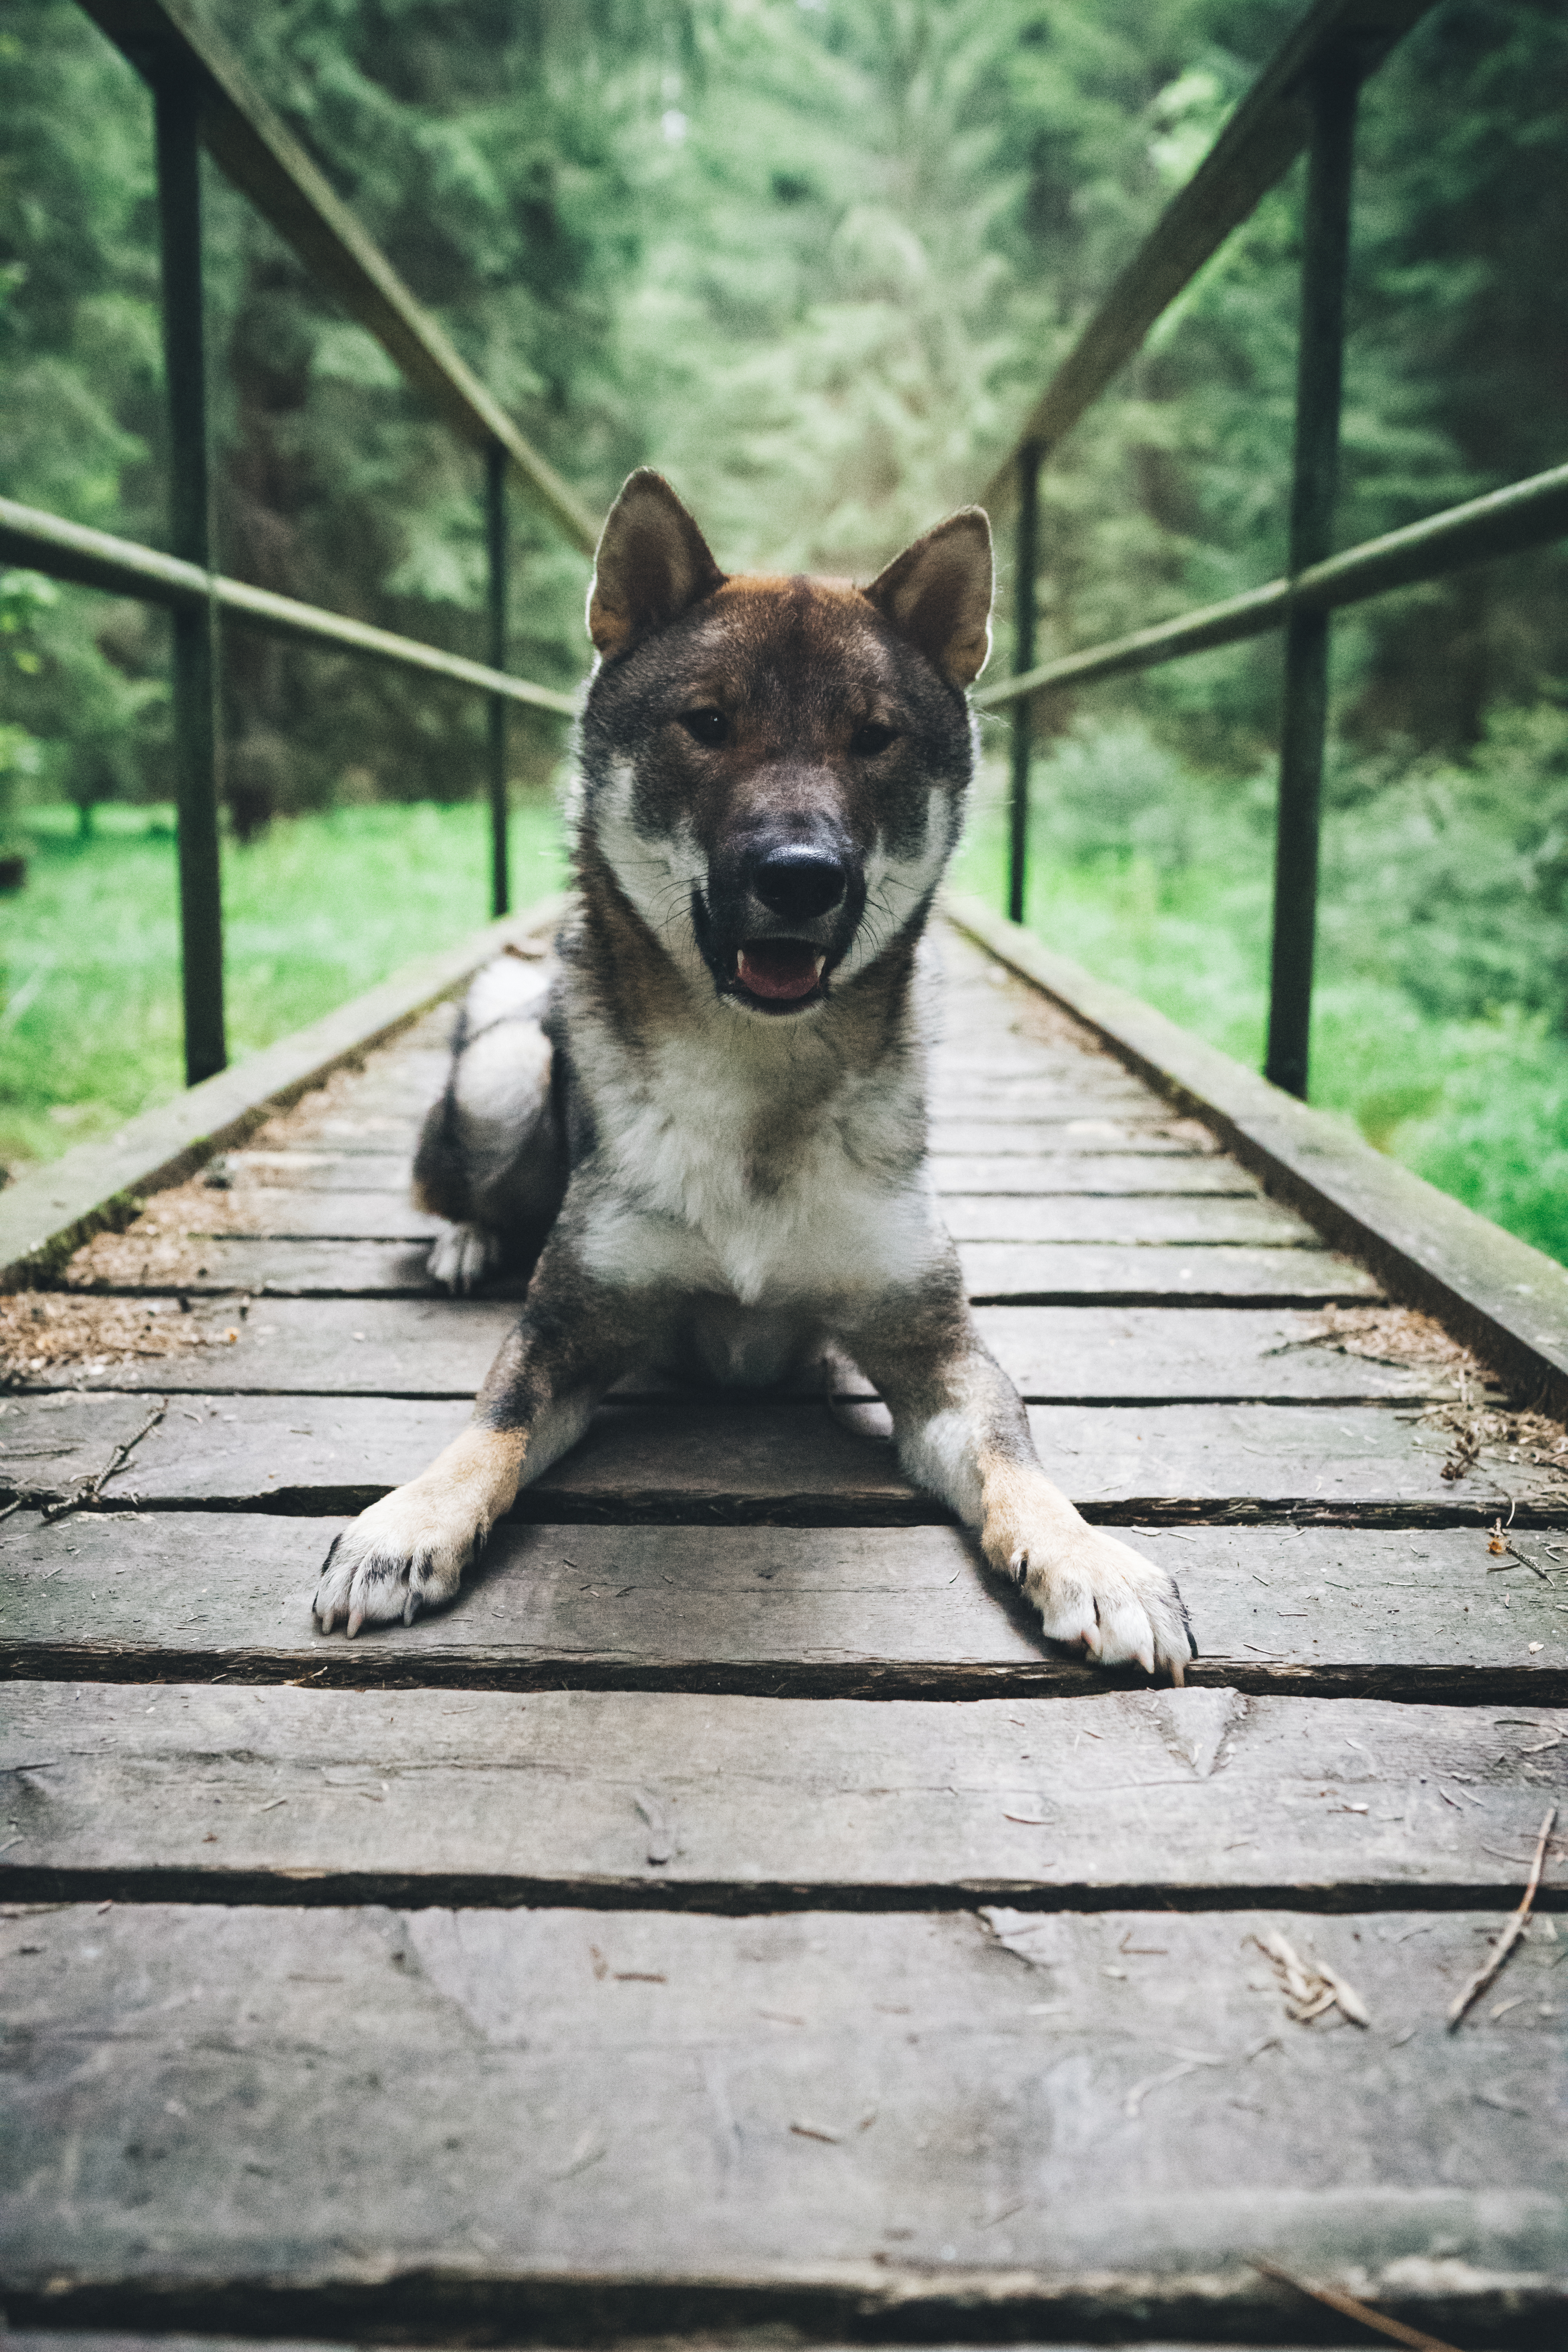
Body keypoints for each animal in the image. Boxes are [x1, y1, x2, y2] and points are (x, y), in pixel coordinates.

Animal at [312, 459, 1194, 1684]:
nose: (800, 877)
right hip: (499, 1060)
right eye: (708, 724)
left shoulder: (936, 1356)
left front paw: (1090, 1558)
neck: (755, 1088)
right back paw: (470, 1239)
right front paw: (407, 1524)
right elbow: (486, 1430)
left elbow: (1016, 1458)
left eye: (872, 738)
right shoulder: (564, 1338)